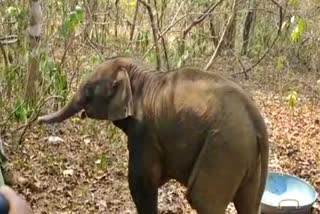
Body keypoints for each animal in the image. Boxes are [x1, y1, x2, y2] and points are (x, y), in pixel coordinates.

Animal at [38, 56, 270, 214]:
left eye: (88, 89)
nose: (38, 118)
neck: (140, 75)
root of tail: (256, 117)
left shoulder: (145, 133)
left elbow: (141, 183)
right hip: (248, 159)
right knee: (247, 203)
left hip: (224, 150)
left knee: (202, 200)